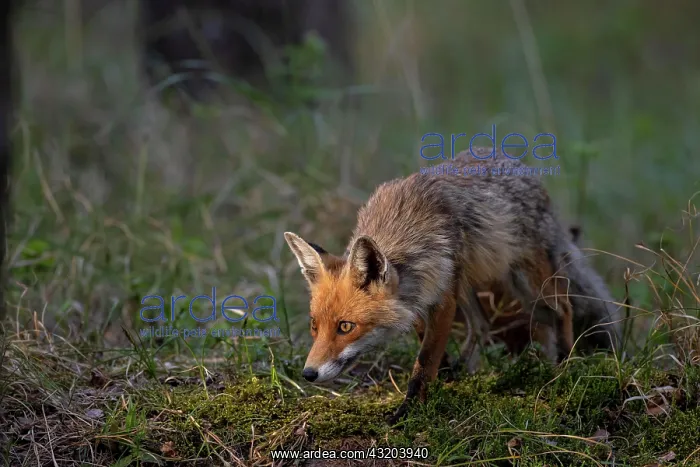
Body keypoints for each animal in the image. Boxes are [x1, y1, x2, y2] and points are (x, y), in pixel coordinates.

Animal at [284, 148, 623, 423]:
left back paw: (565, 361)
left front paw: (410, 410)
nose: (308, 374)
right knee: (482, 325)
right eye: (314, 326)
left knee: (562, 308)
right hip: (471, 283)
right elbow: (430, 347)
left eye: (345, 327)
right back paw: (462, 370)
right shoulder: (418, 300)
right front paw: (441, 378)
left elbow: (424, 361)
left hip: (527, 283)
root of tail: (524, 171)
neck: (404, 235)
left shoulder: (442, 298)